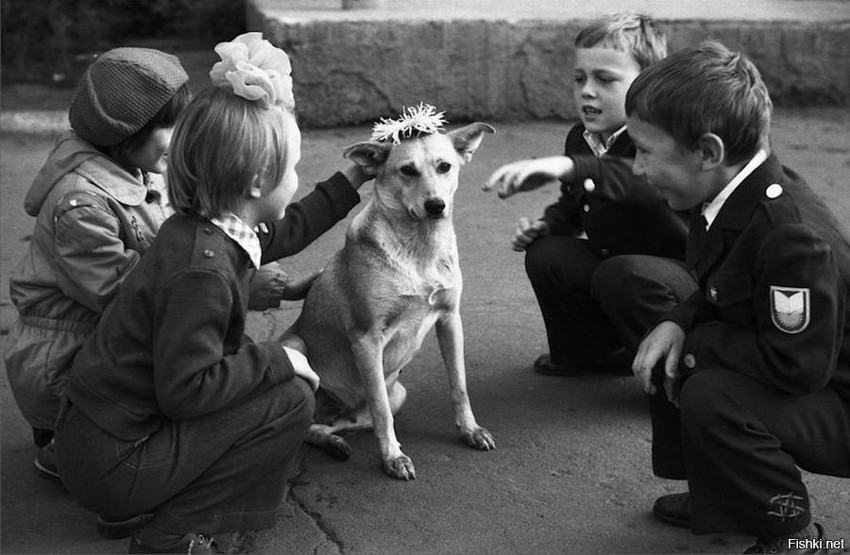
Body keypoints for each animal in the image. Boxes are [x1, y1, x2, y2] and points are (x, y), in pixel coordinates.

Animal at [284, 106, 494, 480]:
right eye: (407, 170)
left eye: (445, 166)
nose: (436, 205)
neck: (420, 249)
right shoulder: (367, 338)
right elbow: (381, 411)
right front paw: (393, 458)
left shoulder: (450, 320)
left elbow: (459, 385)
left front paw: (470, 430)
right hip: (295, 347)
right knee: (311, 423)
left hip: (398, 394)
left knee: (328, 424)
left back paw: (334, 443)